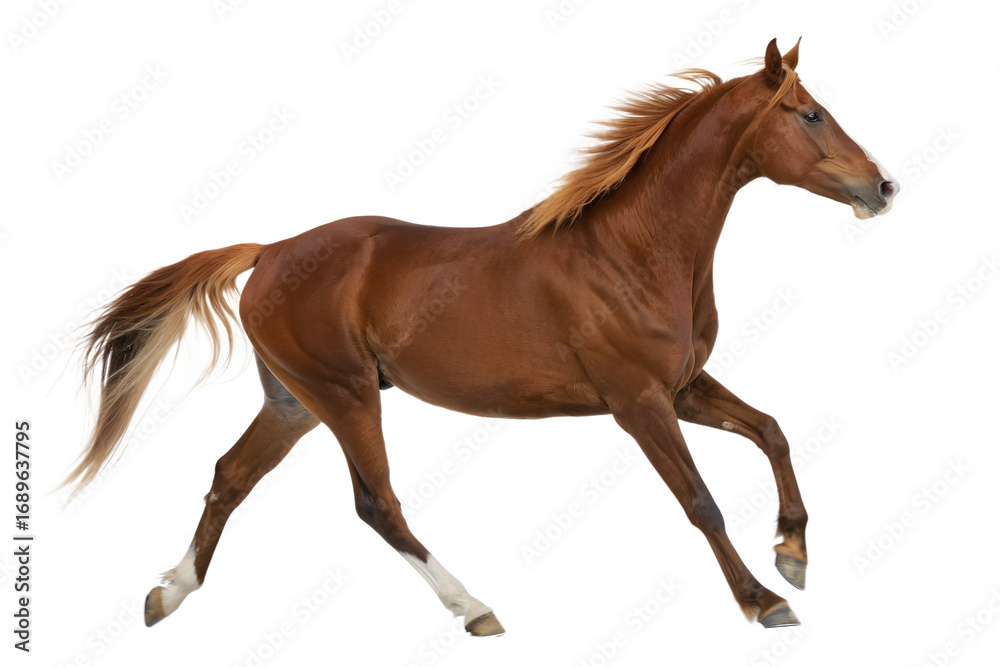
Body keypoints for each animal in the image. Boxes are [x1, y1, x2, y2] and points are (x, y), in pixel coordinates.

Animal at [66, 38, 898, 634]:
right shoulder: (638, 402)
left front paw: (792, 552)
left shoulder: (683, 386)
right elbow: (701, 501)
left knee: (230, 476)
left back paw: (168, 594)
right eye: (810, 113)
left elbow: (772, 430)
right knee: (377, 503)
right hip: (346, 395)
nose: (883, 186)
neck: (632, 249)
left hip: (294, 401)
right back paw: (476, 608)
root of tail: (268, 251)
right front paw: (764, 598)